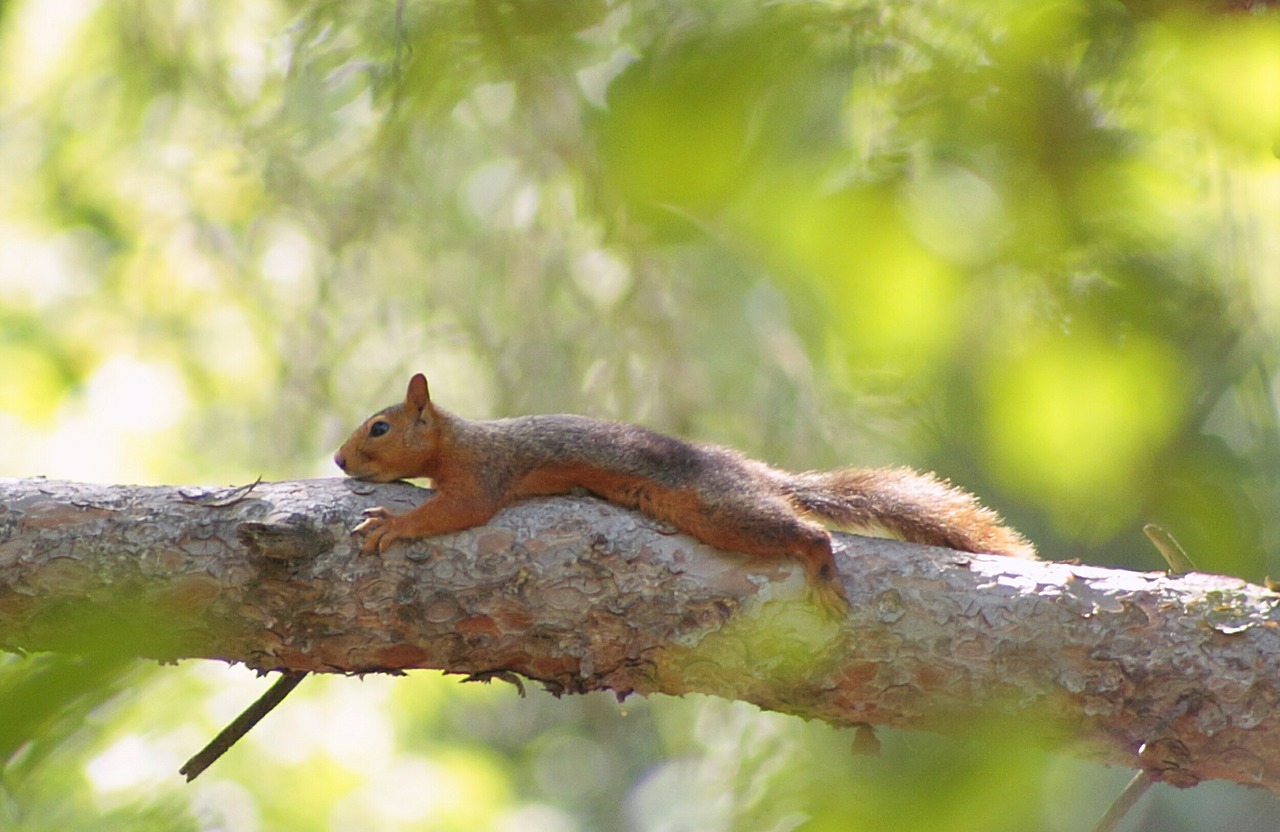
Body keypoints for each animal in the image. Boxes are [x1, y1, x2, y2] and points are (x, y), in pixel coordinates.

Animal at [334, 373, 1036, 619]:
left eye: (379, 428)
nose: (339, 460)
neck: (456, 439)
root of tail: (751, 473)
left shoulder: (483, 474)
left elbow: (457, 511)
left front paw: (391, 525)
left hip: (720, 508)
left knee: (804, 532)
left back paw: (820, 561)